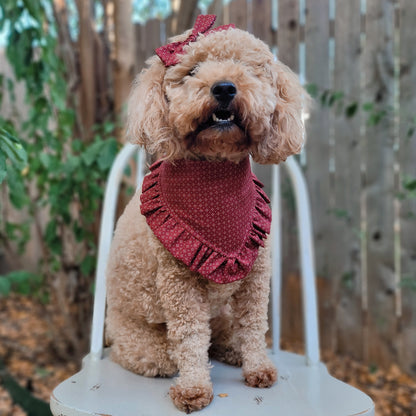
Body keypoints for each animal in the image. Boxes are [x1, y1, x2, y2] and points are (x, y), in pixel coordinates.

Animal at [105, 13, 304, 412]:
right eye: (192, 70)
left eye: (247, 68)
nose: (224, 87)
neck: (215, 178)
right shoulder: (180, 284)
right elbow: (191, 337)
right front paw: (195, 388)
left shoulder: (257, 273)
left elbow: (254, 325)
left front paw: (258, 367)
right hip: (139, 339)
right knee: (156, 353)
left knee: (227, 332)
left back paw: (232, 349)